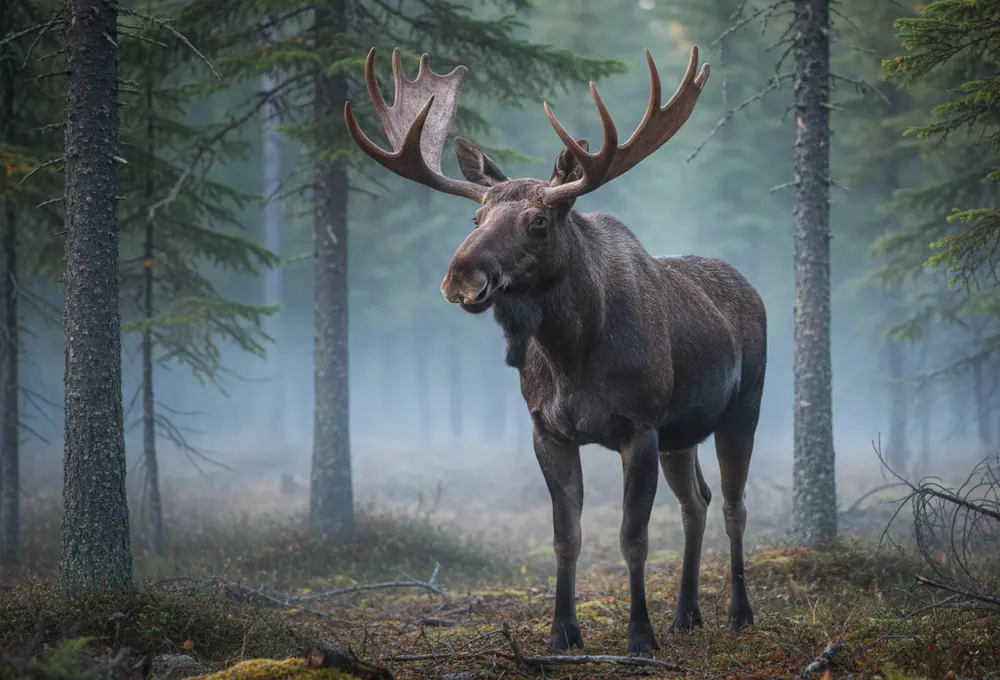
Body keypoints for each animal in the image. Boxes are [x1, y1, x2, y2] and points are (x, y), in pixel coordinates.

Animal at [344, 46, 767, 657]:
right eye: (475, 218)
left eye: (538, 220)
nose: (460, 277)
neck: (572, 355)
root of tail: (753, 289)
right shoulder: (548, 429)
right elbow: (566, 537)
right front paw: (561, 633)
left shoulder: (639, 426)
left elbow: (632, 537)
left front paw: (639, 635)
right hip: (681, 431)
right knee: (697, 502)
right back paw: (687, 613)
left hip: (743, 408)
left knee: (734, 504)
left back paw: (738, 612)